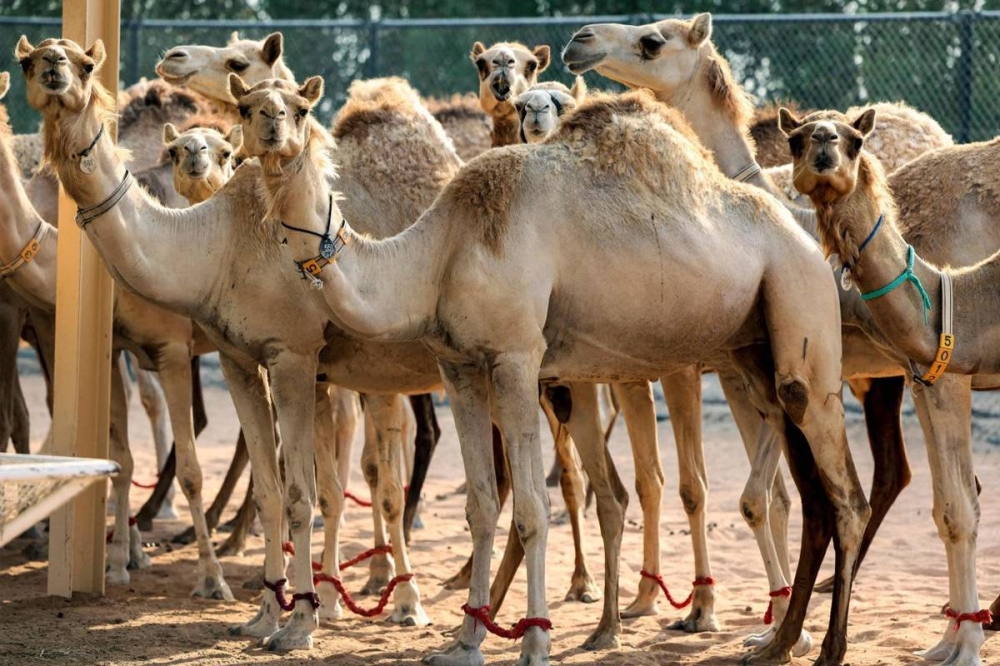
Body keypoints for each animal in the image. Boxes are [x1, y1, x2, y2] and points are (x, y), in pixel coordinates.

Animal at [782, 106, 997, 666]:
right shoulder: (929, 377)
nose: (824, 144)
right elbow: (950, 508)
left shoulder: (950, 381)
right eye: (795, 139)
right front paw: (949, 643)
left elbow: (963, 507)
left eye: (856, 140)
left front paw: (967, 648)